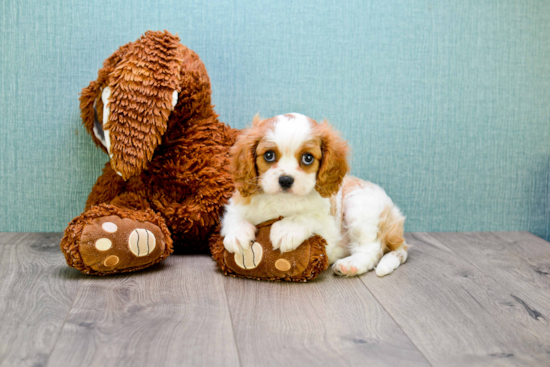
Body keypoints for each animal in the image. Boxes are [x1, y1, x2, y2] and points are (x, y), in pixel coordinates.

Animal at [221, 113, 410, 278]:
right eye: (269, 155)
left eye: (307, 158)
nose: (285, 180)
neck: (282, 201)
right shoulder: (238, 203)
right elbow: (234, 216)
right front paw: (237, 235)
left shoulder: (329, 227)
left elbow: (307, 217)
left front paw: (286, 229)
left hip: (358, 206)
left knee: (372, 249)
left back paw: (350, 265)